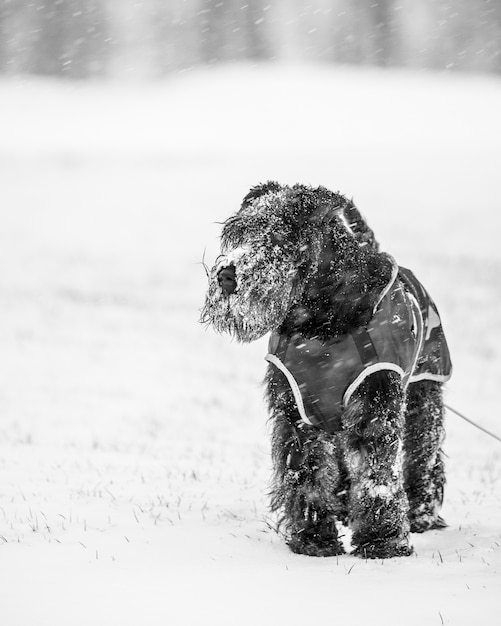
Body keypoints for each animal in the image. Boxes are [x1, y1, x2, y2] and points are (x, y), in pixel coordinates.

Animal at [201, 180, 452, 556]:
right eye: (238, 232)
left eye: (280, 235)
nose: (228, 275)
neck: (321, 320)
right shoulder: (297, 408)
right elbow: (307, 471)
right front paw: (314, 538)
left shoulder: (374, 401)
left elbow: (376, 472)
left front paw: (381, 541)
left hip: (425, 389)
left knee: (424, 451)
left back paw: (422, 513)